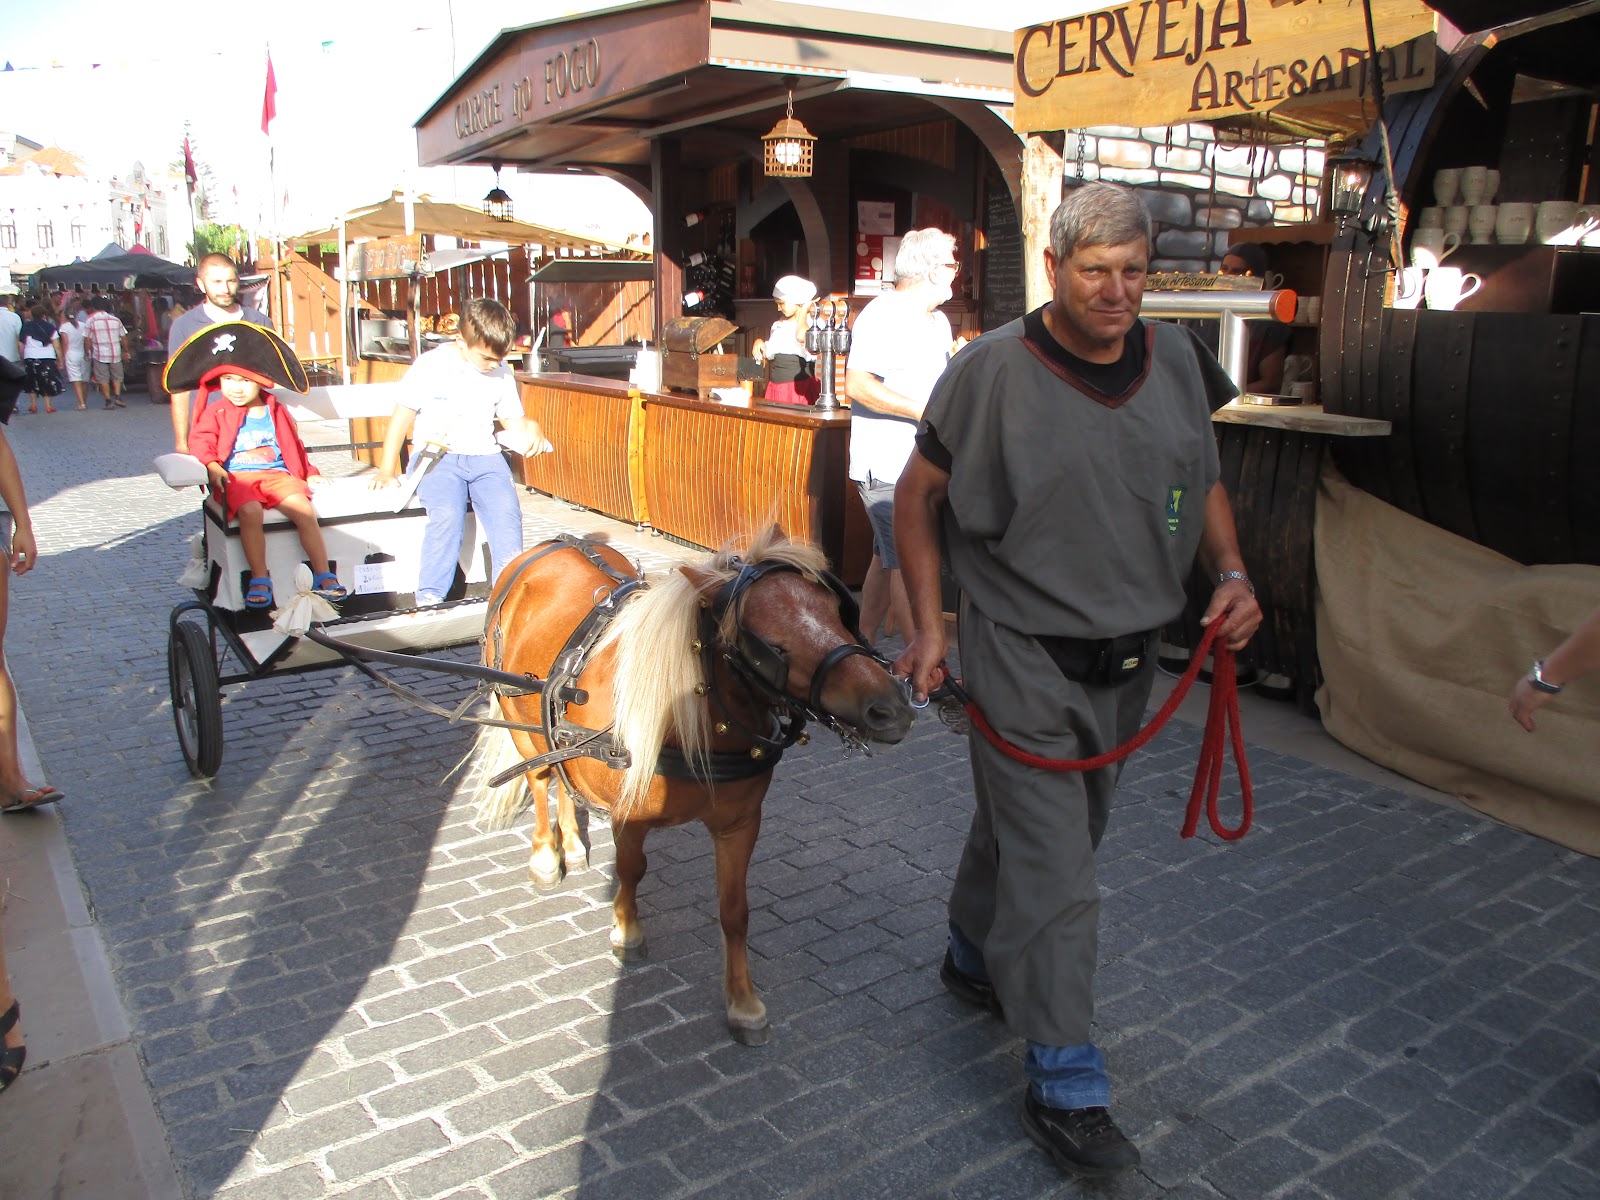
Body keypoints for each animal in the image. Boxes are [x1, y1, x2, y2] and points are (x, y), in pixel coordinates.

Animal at [468, 527, 915, 1044]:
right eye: (772, 647)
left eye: (837, 614)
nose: (890, 709)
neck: (686, 712)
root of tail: (548, 546)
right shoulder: (629, 816)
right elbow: (631, 870)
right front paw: (627, 932)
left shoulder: (739, 824)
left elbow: (735, 911)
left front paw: (743, 1003)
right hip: (518, 719)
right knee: (541, 778)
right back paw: (546, 855)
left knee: (562, 776)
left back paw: (574, 845)